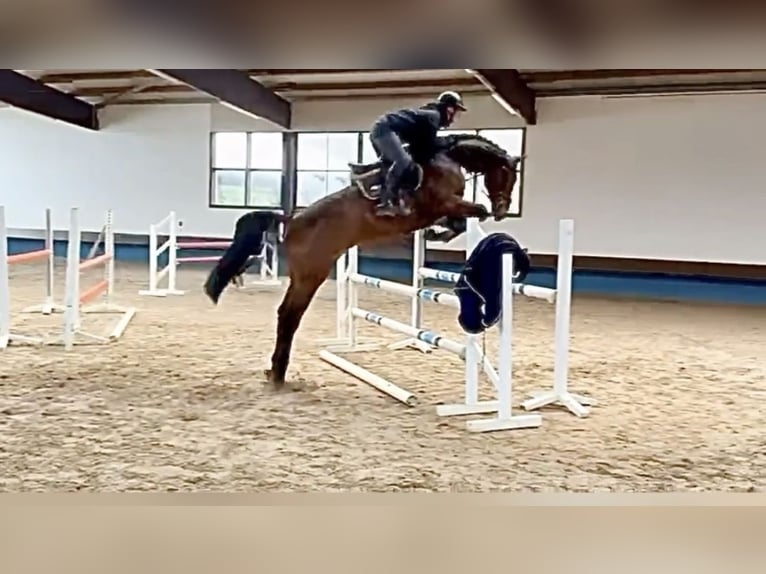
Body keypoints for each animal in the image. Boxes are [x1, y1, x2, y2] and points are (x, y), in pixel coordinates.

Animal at [203, 133, 525, 387]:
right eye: (508, 175)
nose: (502, 210)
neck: (445, 160)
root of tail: (291, 220)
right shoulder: (444, 204)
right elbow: (474, 212)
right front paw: (440, 232)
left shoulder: (445, 209)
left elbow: (459, 221)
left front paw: (436, 234)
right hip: (312, 274)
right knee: (290, 316)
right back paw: (279, 376)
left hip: (303, 275)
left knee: (285, 314)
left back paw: (274, 372)